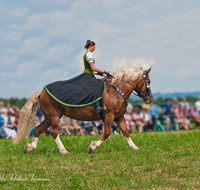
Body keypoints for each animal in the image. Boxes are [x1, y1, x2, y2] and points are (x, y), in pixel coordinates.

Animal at [12, 67, 153, 154]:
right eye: (149, 81)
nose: (150, 98)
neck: (116, 90)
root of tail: (42, 91)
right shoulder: (109, 115)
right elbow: (107, 133)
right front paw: (92, 147)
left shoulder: (119, 116)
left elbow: (125, 131)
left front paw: (134, 147)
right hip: (54, 116)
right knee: (53, 132)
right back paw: (63, 150)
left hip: (49, 117)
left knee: (38, 129)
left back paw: (30, 147)